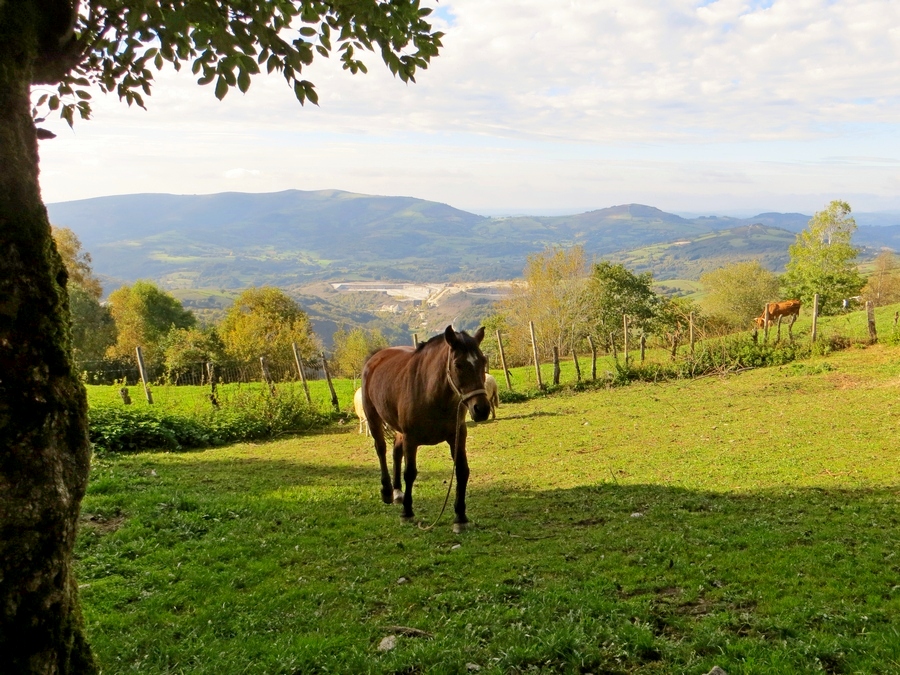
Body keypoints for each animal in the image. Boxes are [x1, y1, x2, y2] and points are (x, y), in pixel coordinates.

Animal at [360, 328, 492, 532]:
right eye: (458, 364)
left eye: (483, 361)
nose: (482, 409)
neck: (430, 393)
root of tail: (376, 356)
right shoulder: (411, 438)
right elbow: (410, 473)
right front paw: (407, 513)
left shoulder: (457, 435)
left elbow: (462, 471)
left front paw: (460, 517)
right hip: (373, 417)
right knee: (381, 449)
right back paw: (387, 491)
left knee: (396, 452)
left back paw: (397, 492)